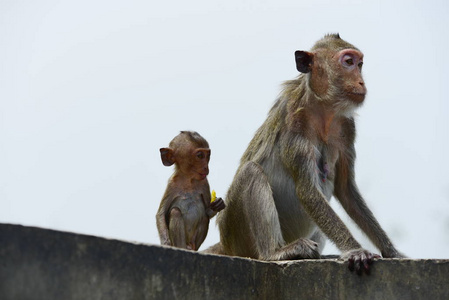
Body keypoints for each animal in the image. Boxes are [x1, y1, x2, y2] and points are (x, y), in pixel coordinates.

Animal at [208, 34, 404, 274]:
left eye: (360, 64)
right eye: (348, 62)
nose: (361, 82)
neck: (323, 109)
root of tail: (225, 244)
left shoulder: (347, 127)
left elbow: (346, 190)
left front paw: (392, 251)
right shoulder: (295, 121)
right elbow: (307, 190)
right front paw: (355, 250)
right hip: (235, 235)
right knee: (251, 171)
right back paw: (276, 253)